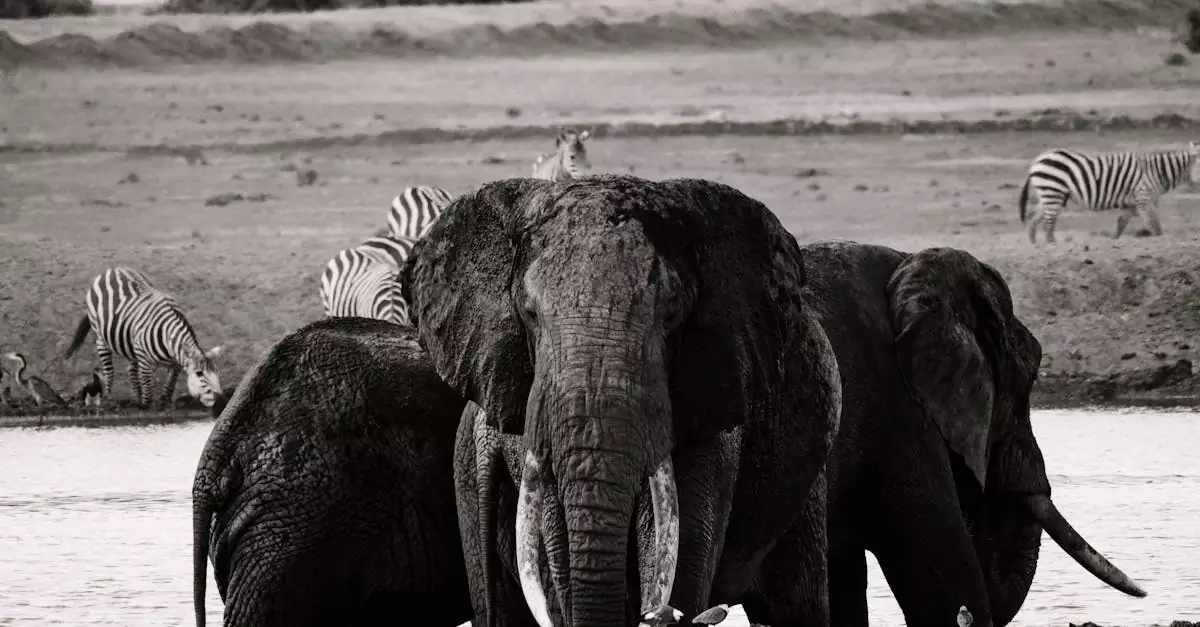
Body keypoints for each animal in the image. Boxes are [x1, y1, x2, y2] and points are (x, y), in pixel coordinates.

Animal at [63, 267, 224, 409]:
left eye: (217, 372)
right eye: (199, 373)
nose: (221, 402)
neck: (168, 338)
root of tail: (112, 269)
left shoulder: (175, 364)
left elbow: (170, 384)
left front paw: (164, 403)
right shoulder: (145, 360)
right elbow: (148, 387)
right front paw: (146, 406)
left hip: (130, 343)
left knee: (131, 372)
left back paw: (137, 398)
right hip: (101, 337)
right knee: (109, 371)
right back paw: (109, 399)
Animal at [1019, 141, 1200, 243]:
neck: (1158, 172)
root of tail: (1036, 161)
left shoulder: (1132, 204)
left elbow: (1120, 225)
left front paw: (1113, 243)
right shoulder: (1144, 199)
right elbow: (1155, 227)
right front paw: (1160, 242)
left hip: (1049, 193)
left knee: (1035, 219)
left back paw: (1034, 245)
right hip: (1053, 190)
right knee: (1048, 224)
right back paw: (1051, 245)